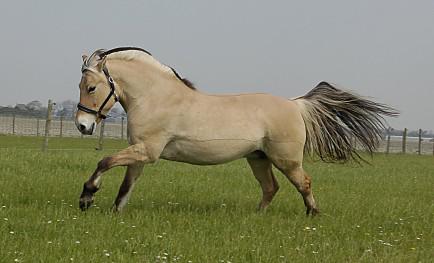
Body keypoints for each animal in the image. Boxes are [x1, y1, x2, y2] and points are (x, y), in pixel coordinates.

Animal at [73, 47, 396, 216]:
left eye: (91, 87)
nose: (82, 125)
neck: (157, 97)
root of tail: (296, 104)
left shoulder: (147, 151)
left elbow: (104, 162)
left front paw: (87, 197)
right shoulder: (140, 154)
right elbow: (126, 186)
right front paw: (114, 212)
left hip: (286, 160)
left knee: (303, 183)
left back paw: (311, 216)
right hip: (258, 158)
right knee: (271, 187)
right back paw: (257, 216)